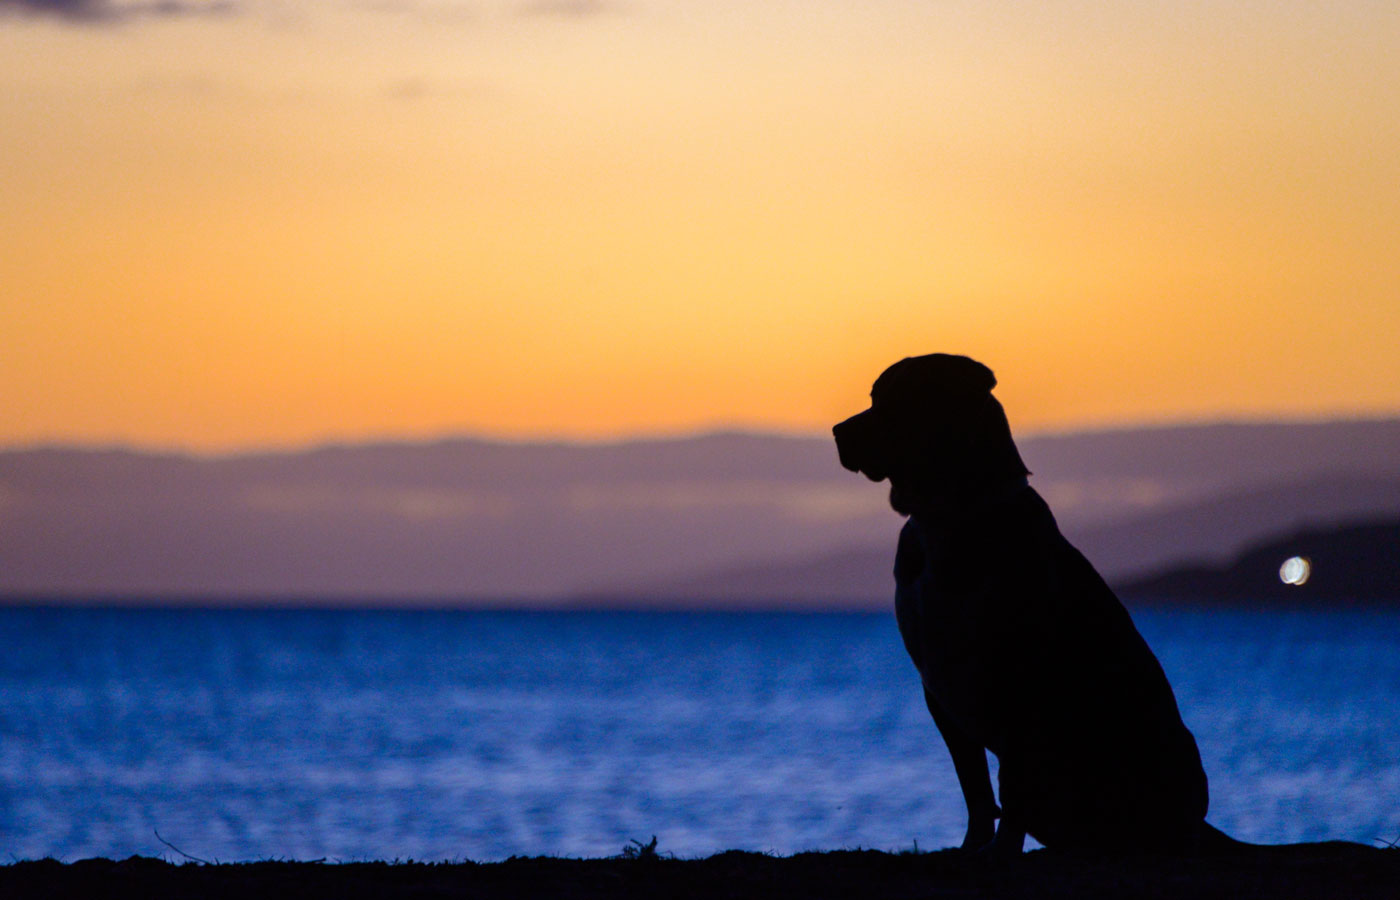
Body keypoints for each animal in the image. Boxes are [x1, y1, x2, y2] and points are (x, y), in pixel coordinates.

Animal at [828, 355, 1215, 856]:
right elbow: (974, 784)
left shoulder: (1017, 682)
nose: (837, 431)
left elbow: (1010, 784)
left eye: (897, 398)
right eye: (874, 397)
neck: (951, 513)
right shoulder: (938, 688)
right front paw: (973, 848)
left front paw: (1000, 852)